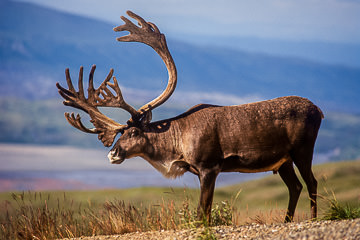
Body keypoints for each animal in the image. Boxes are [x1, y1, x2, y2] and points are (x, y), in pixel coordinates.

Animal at [56, 10, 324, 222]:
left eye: (132, 131)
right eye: (120, 133)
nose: (112, 154)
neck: (177, 143)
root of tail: (318, 110)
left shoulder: (209, 167)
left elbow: (201, 211)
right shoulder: (201, 171)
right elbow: (205, 209)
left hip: (302, 150)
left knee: (311, 182)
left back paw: (312, 218)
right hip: (283, 160)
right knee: (295, 186)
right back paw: (287, 221)